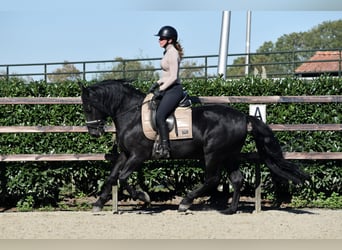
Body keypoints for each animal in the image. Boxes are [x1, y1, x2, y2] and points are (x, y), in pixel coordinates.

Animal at [79, 79, 308, 214]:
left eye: (88, 107)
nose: (94, 132)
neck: (132, 115)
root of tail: (243, 117)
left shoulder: (138, 155)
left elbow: (123, 178)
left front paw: (144, 197)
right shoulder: (125, 154)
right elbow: (111, 177)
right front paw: (98, 204)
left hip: (213, 154)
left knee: (212, 179)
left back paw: (185, 202)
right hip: (230, 155)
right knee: (236, 178)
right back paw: (230, 209)